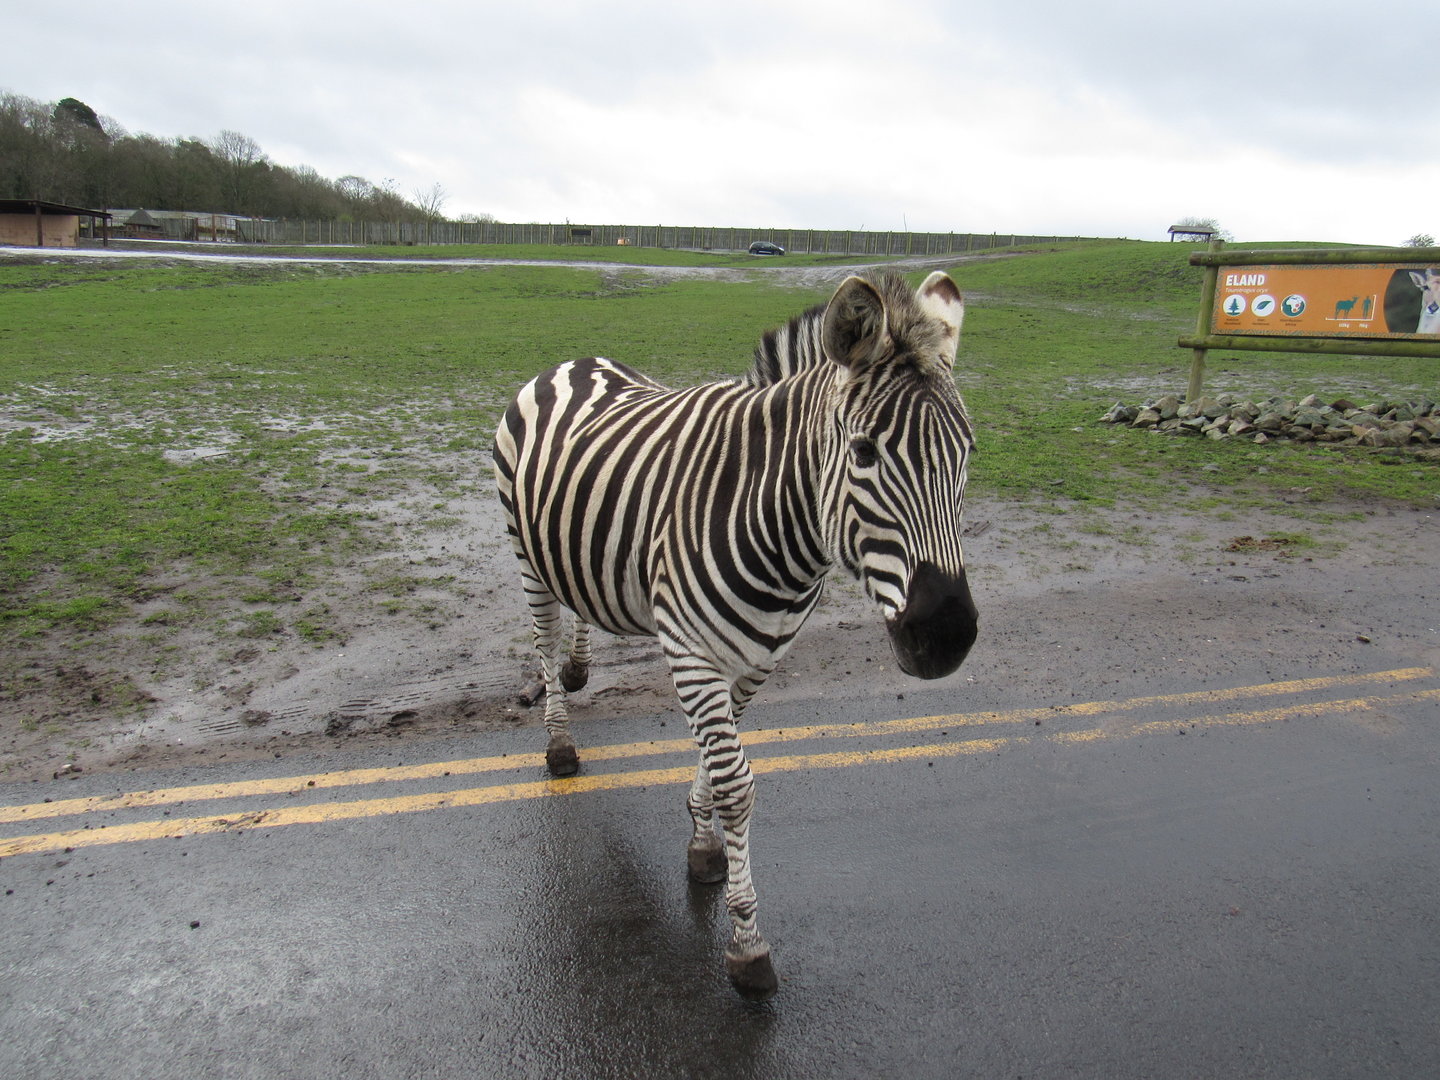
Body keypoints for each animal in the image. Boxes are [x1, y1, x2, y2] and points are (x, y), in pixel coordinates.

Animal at [493, 270, 979, 999]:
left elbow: (720, 762)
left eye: (967, 454)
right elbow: (736, 784)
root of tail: (572, 362)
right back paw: (559, 743)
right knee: (545, 643)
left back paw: (580, 669)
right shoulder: (693, 653)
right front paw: (747, 945)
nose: (947, 636)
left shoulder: (756, 656)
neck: (776, 525)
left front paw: (704, 844)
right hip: (525, 551)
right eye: (864, 452)